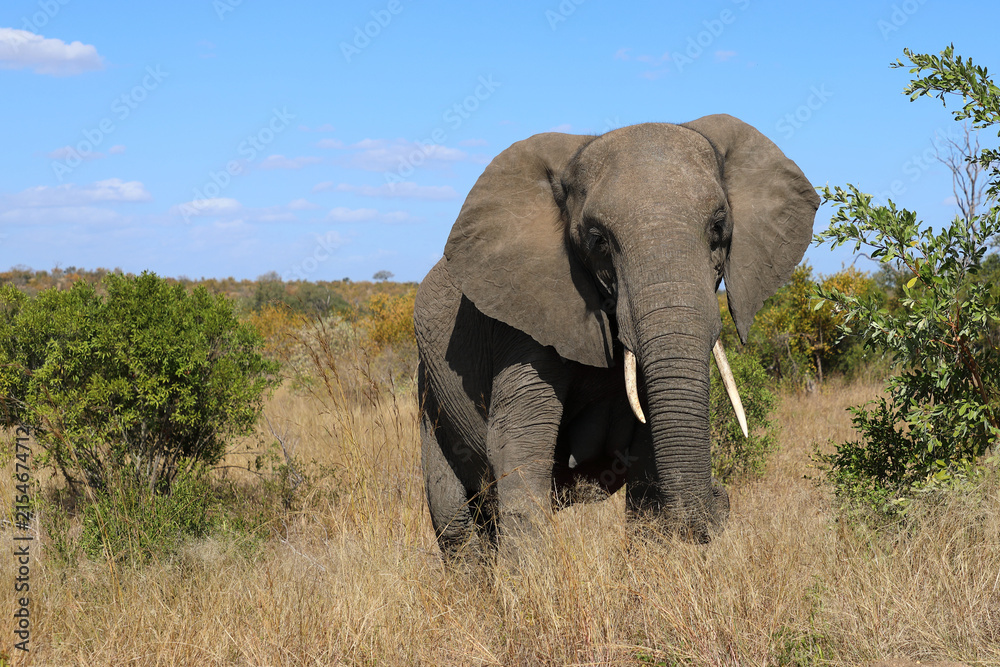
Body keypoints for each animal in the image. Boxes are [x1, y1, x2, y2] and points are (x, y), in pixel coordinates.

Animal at [414, 114, 819, 557]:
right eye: (598, 241)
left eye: (718, 228)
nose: (719, 496)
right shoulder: (521, 318)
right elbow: (518, 442)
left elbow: (648, 455)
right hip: (429, 395)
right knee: (455, 522)